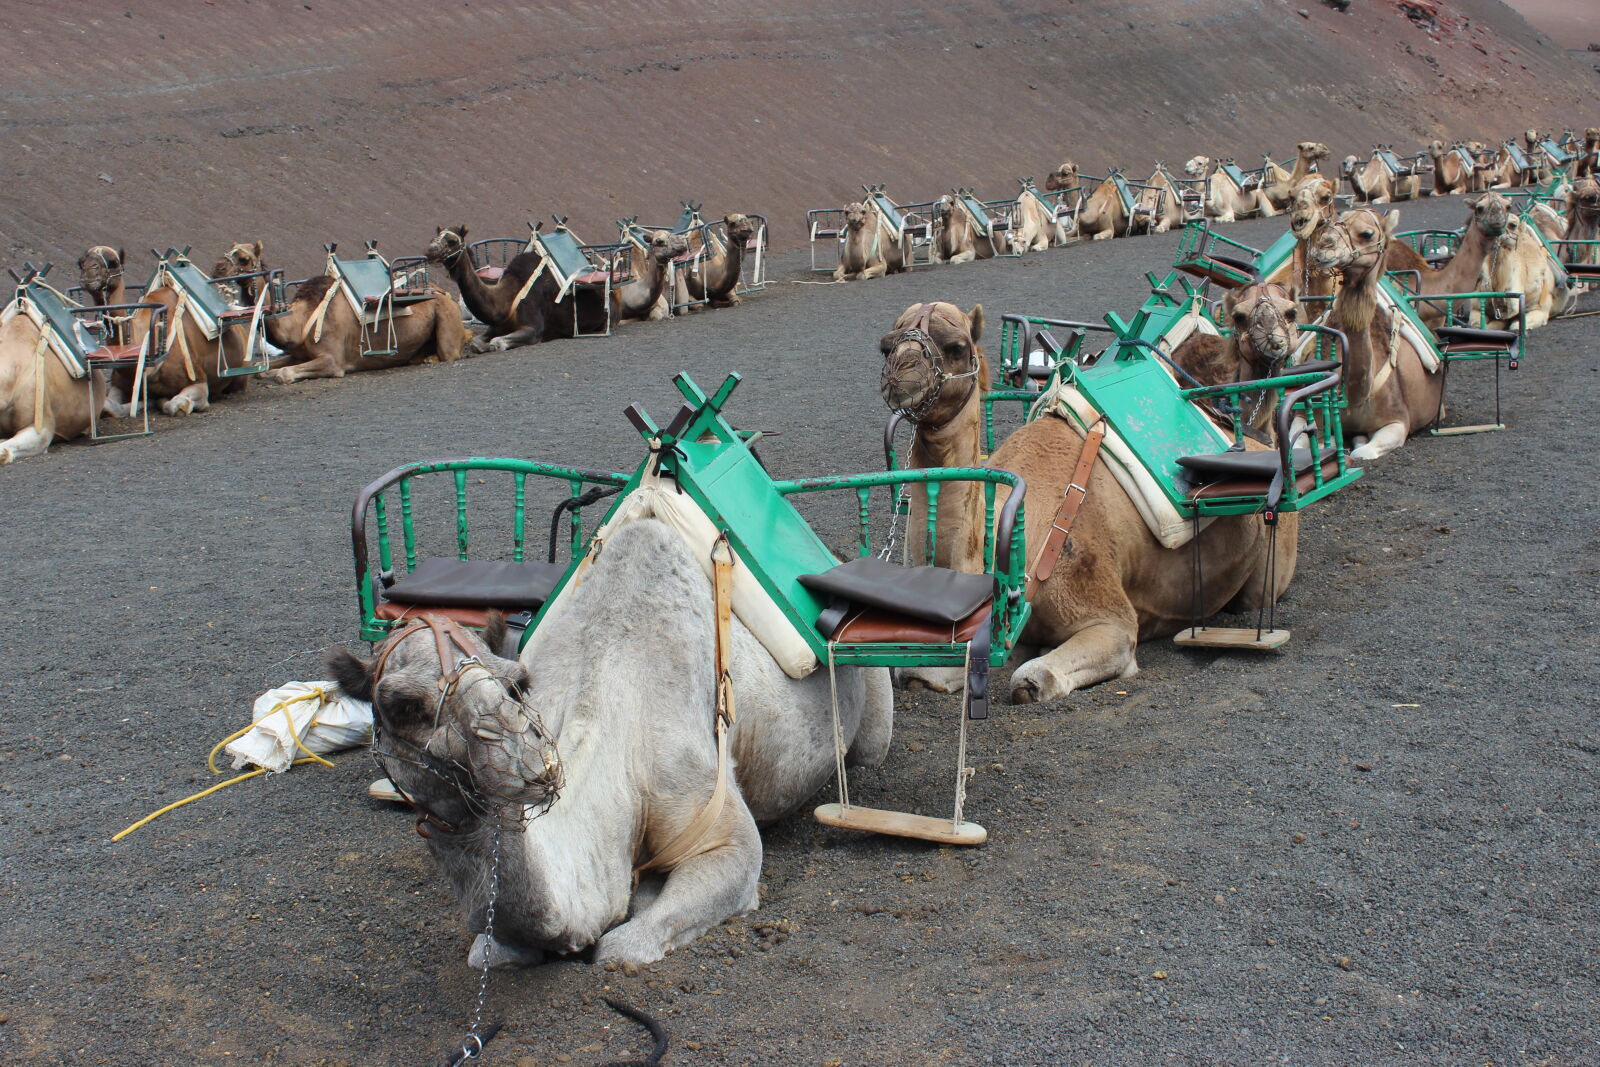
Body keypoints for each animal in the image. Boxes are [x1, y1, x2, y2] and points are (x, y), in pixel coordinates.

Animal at [215, 242, 469, 382]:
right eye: (228, 250)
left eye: (243, 258)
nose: (218, 268)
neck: (300, 320)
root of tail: (444, 293)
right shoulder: (299, 354)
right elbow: (264, 372)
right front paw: (264, 373)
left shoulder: (333, 360)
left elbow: (284, 373)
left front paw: (277, 375)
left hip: (446, 317)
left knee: (450, 352)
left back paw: (430, 358)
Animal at [327, 520, 892, 967]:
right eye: (401, 705)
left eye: (513, 684)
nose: (522, 758)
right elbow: (486, 950)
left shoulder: (716, 824)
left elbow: (620, 948)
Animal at [877, 301, 1298, 703]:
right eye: (886, 346)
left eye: (956, 347)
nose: (900, 375)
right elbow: (919, 674)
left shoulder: (1109, 618)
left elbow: (1034, 678)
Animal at [1307, 208, 1444, 461]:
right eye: (1334, 223)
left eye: (1367, 233)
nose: (1324, 246)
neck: (1355, 394)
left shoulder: (1397, 420)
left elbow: (1363, 451)